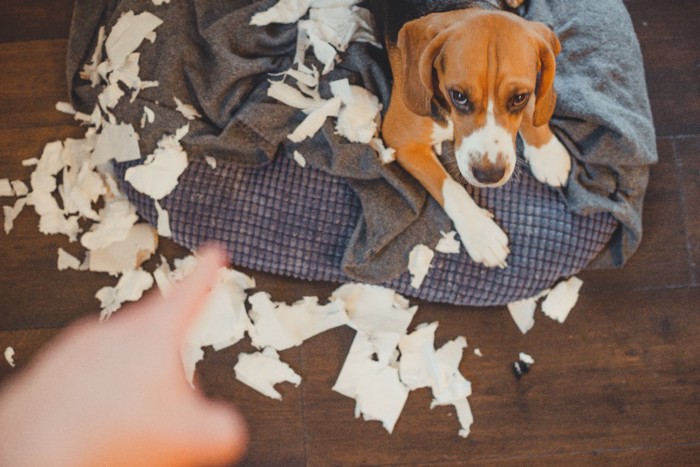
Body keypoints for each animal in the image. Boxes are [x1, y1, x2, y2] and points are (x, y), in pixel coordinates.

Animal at [370, 0, 572, 268]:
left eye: (519, 97)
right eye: (458, 96)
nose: (489, 175)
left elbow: (534, 107)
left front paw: (547, 151)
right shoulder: (400, 139)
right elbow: (449, 186)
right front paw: (480, 232)